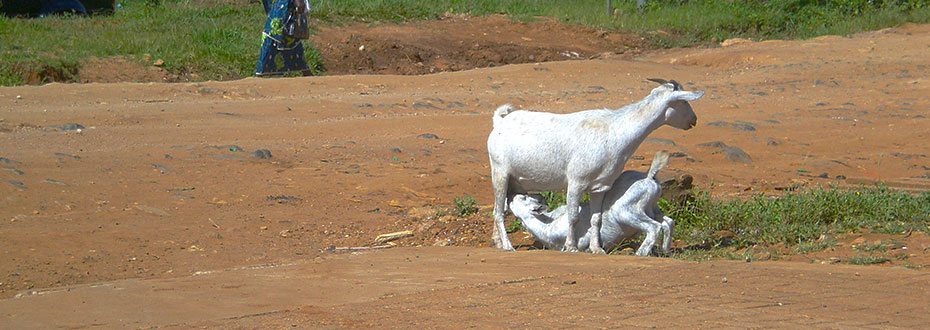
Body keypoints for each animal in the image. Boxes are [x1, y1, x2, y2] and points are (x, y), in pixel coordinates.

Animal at [508, 151, 676, 256]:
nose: (510, 197)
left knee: (654, 227)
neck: (546, 227)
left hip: (627, 212)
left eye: (523, 198)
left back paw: (640, 253)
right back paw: (664, 251)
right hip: (652, 209)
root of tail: (649, 178)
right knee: (667, 222)